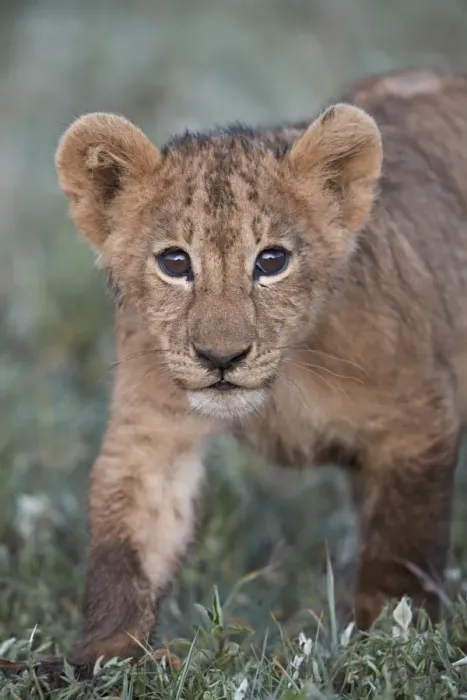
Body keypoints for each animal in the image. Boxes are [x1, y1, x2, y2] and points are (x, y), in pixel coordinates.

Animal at [55, 68, 467, 668]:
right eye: (174, 262)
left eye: (272, 261)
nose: (221, 357)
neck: (285, 383)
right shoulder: (151, 431)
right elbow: (126, 549)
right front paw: (100, 659)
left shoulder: (417, 425)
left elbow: (398, 557)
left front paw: (388, 648)